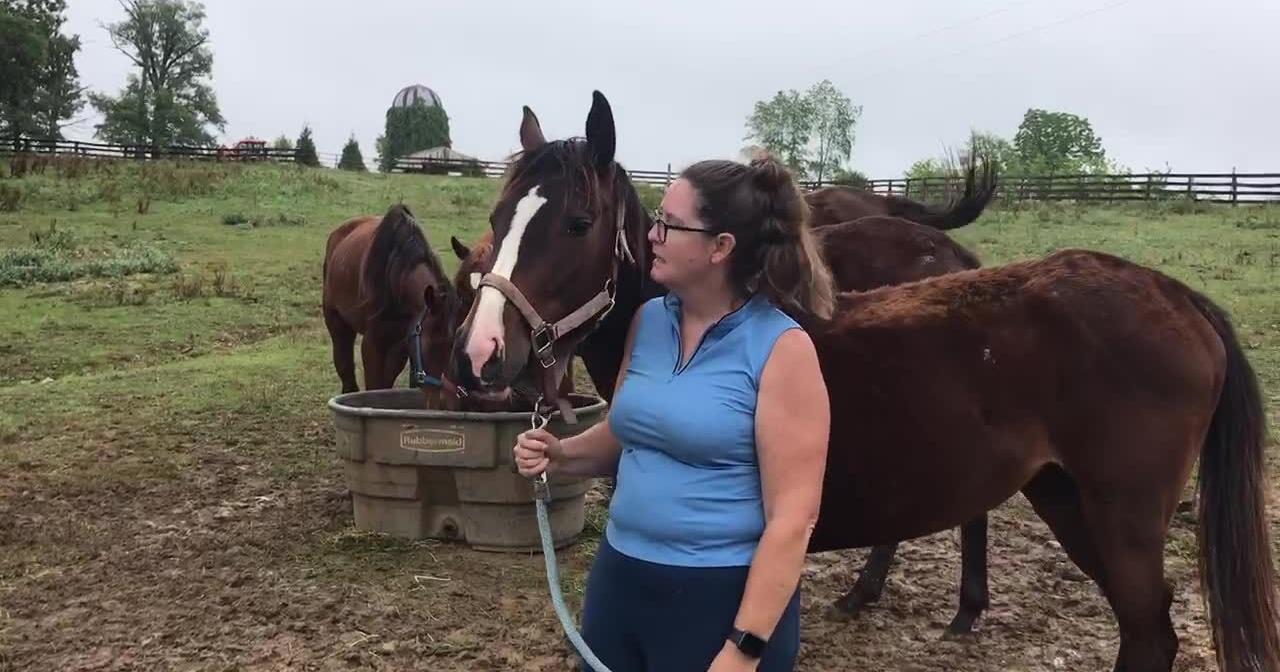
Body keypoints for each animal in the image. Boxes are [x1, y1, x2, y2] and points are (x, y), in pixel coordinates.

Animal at [322, 203, 457, 408]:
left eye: (451, 346)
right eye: (430, 346)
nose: (439, 401)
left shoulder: (400, 343)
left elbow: (385, 383)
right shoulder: (372, 342)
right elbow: (374, 384)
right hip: (336, 321)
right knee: (344, 365)